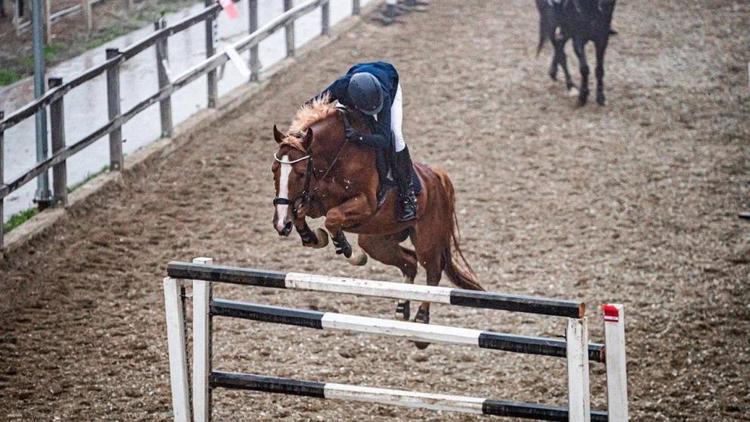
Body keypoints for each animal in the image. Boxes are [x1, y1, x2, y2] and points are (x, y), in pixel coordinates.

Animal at [274, 97, 484, 344]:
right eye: (274, 170)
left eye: (298, 173)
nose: (280, 225)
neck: (337, 155)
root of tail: (436, 177)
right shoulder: (315, 199)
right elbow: (302, 212)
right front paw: (312, 237)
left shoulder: (365, 203)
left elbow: (333, 218)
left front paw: (350, 253)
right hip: (376, 240)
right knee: (409, 262)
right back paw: (402, 308)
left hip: (427, 240)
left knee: (432, 272)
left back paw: (421, 324)